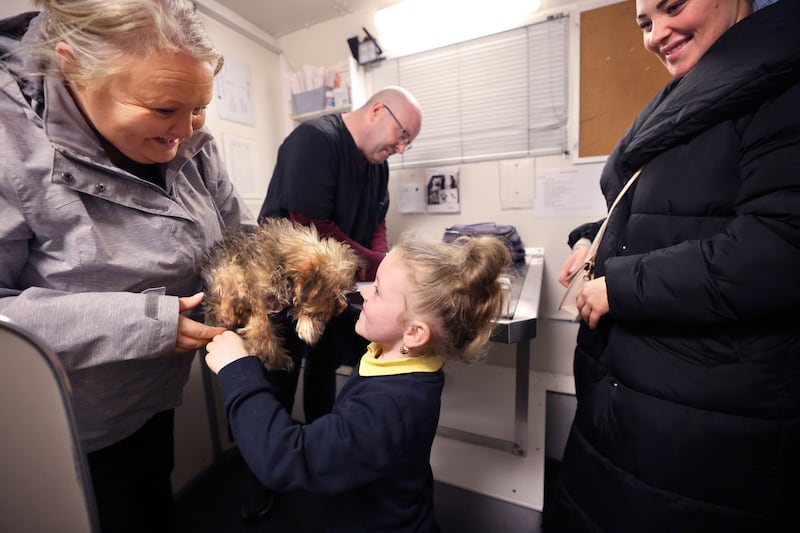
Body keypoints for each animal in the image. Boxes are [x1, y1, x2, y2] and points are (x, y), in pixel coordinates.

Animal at [202, 218, 360, 368]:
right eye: (331, 295)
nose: (341, 309)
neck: (282, 265)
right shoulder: (255, 290)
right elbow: (262, 324)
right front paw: (272, 355)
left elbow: (299, 302)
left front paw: (309, 327)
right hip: (225, 270)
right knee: (226, 296)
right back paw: (234, 308)